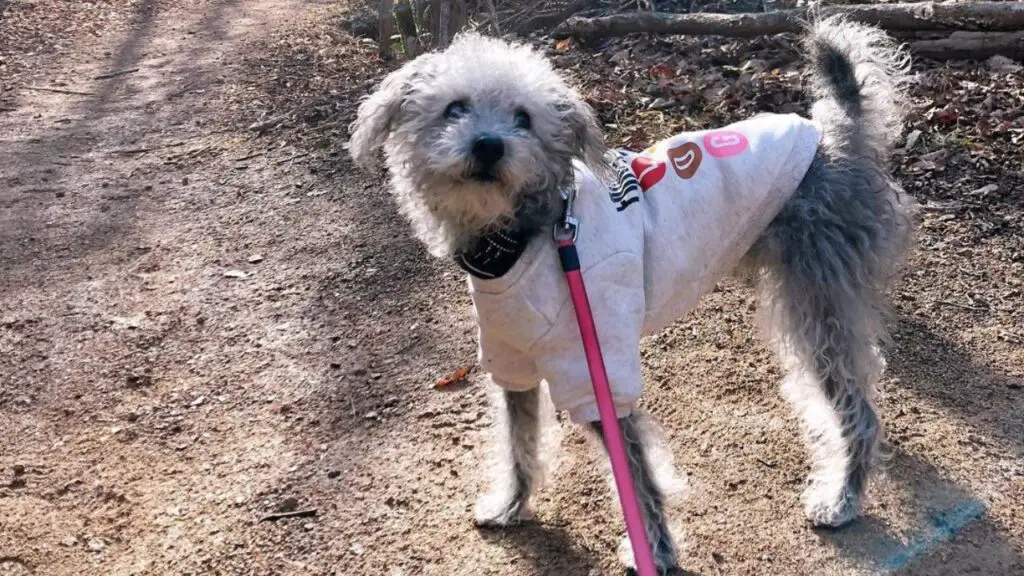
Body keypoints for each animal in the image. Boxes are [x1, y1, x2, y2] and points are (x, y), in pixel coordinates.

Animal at [348, 15, 917, 569]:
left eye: (523, 118)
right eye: (455, 108)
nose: (489, 145)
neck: (522, 237)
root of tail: (835, 135)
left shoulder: (597, 370)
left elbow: (635, 474)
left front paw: (657, 551)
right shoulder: (511, 361)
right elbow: (519, 441)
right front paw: (510, 504)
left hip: (815, 310)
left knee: (859, 412)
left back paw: (842, 498)